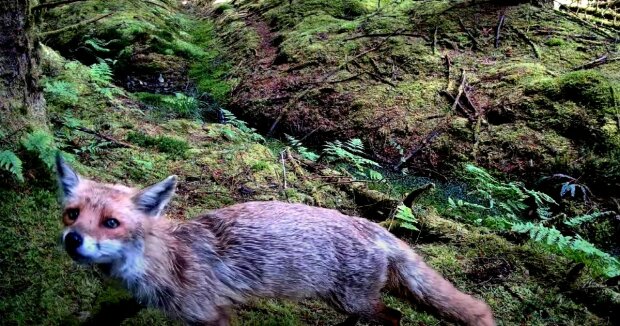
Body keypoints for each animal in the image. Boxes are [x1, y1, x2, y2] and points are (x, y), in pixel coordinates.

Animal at [57, 153, 494, 326]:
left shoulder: (209, 314)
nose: (72, 240)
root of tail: (366, 223)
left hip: (352, 299)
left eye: (111, 223)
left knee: (394, 317)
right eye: (73, 213)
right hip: (350, 299)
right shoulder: (137, 301)